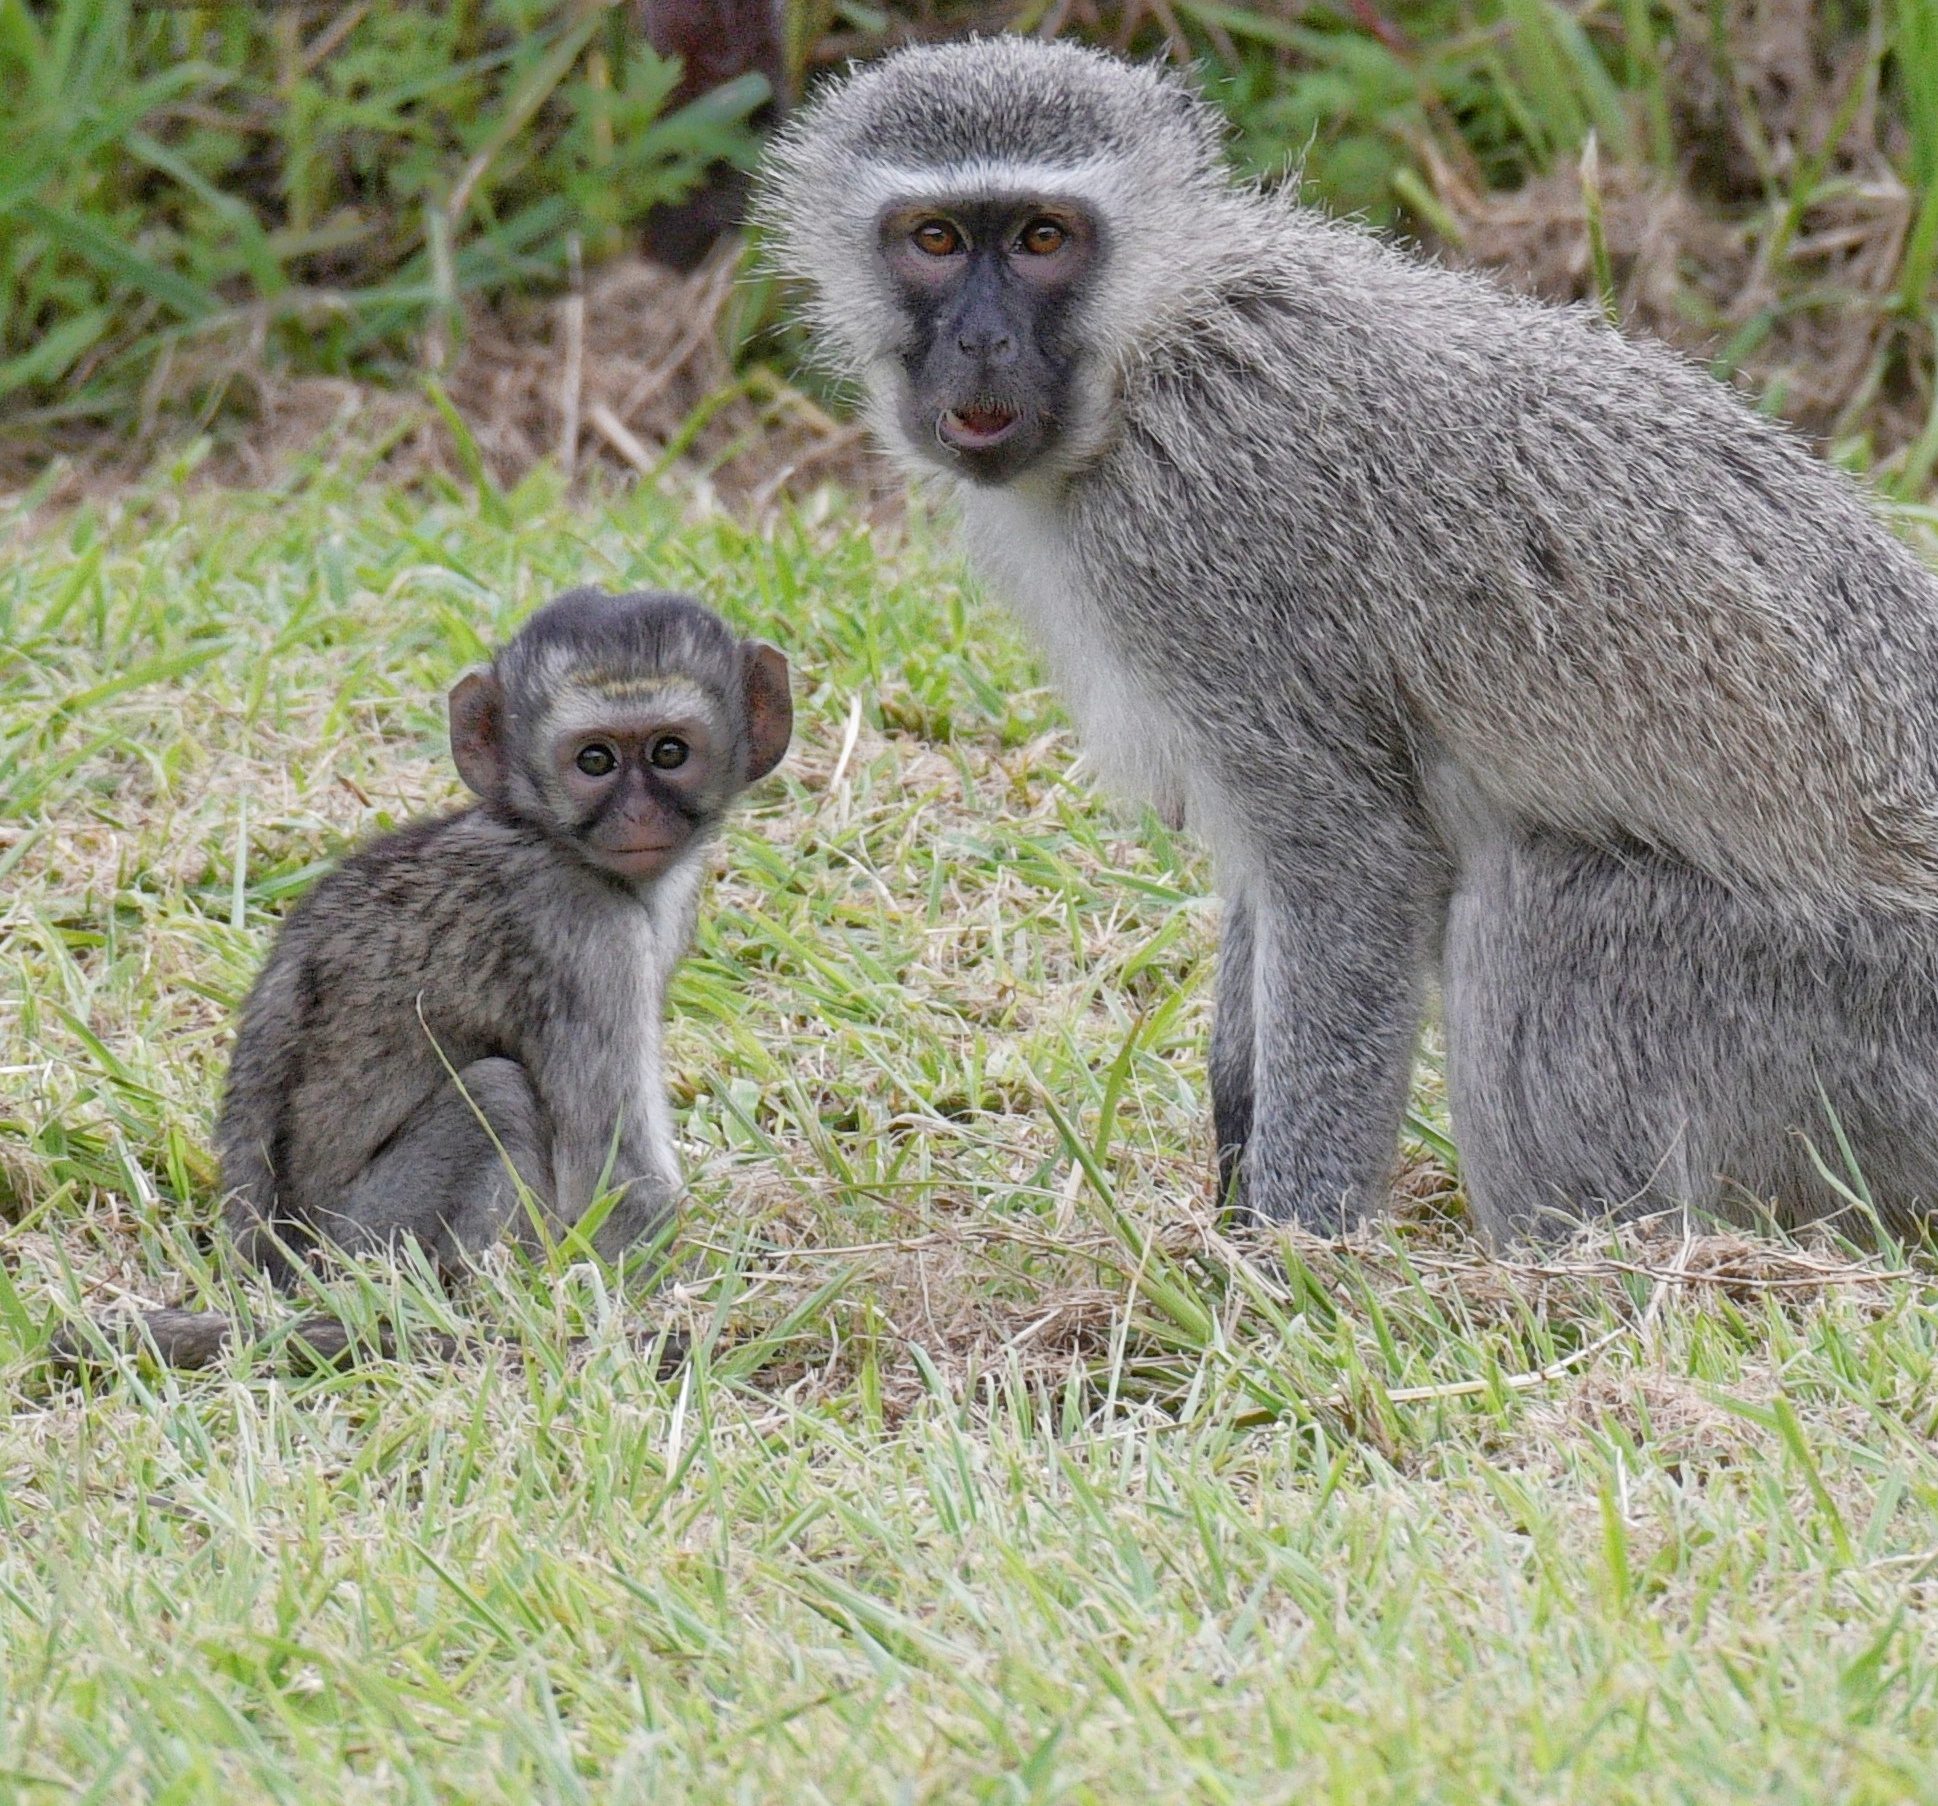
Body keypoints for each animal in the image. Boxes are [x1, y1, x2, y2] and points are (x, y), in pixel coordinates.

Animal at [65, 588, 791, 1370]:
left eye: (669, 754)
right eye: (595, 760)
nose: (638, 815)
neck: (540, 834)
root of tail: (273, 1264)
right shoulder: (582, 933)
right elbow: (619, 1183)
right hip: (369, 1240)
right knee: (499, 1096)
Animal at [759, 36, 1938, 1241]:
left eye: (1044, 238)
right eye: (936, 239)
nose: (983, 341)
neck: (1149, 358)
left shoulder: (1206, 549)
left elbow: (1354, 868)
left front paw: (1289, 1252)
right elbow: (1267, 885)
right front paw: (1232, 1194)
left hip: (1851, 1024)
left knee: (1538, 907)